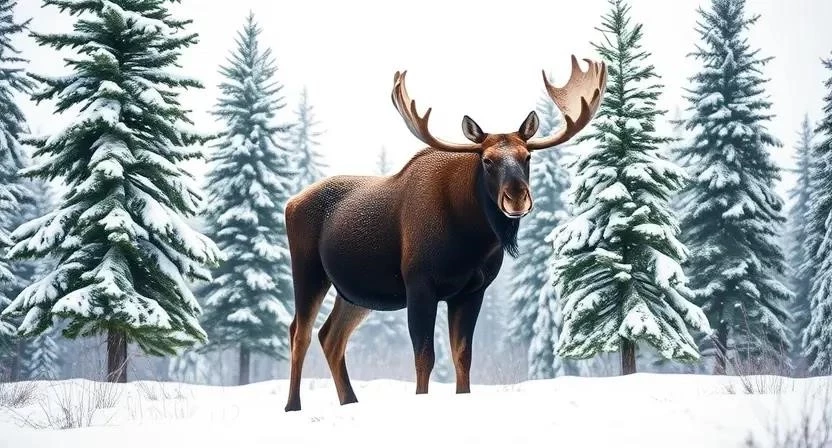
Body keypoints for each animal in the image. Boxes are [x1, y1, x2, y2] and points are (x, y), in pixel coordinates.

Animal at [283, 55, 607, 412]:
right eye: (487, 160)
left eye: (527, 156)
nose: (517, 196)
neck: (470, 242)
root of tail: (290, 203)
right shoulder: (419, 284)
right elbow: (424, 358)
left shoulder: (472, 290)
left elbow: (462, 356)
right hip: (308, 271)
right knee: (299, 332)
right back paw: (293, 406)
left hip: (355, 293)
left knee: (331, 336)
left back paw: (350, 401)